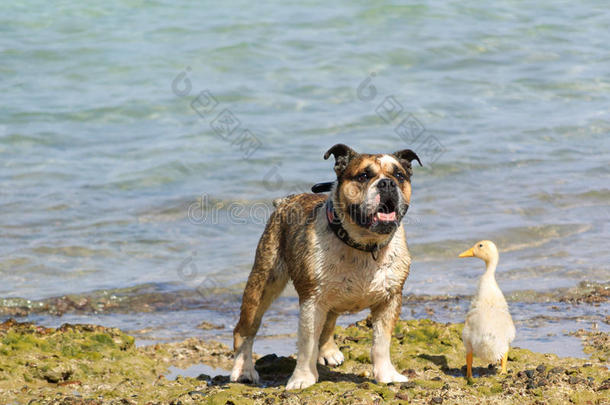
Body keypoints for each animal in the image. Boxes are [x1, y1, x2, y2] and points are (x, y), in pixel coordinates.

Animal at [228, 143, 418, 388]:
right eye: (364, 176)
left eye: (399, 175)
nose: (387, 183)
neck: (363, 245)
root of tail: (286, 200)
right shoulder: (312, 301)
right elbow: (307, 344)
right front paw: (302, 379)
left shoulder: (390, 300)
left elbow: (381, 343)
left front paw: (387, 375)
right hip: (263, 284)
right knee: (245, 330)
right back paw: (244, 369)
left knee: (329, 323)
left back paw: (328, 351)